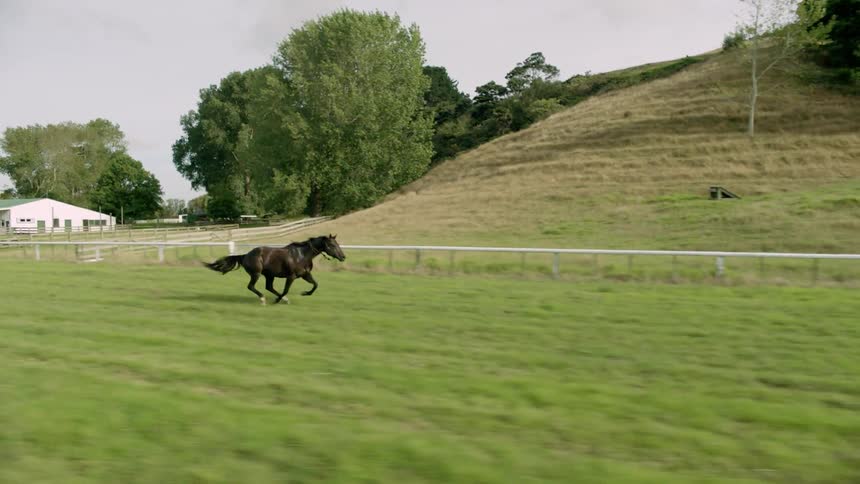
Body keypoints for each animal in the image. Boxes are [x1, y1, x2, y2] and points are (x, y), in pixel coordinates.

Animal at [204, 234, 346, 305]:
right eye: (332, 245)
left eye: (337, 244)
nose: (343, 257)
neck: (302, 255)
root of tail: (245, 255)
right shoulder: (291, 276)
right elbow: (286, 289)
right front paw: (277, 300)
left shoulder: (305, 275)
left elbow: (315, 285)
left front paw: (305, 293)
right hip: (256, 274)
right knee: (251, 286)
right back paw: (263, 299)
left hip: (269, 275)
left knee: (269, 287)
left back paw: (283, 299)